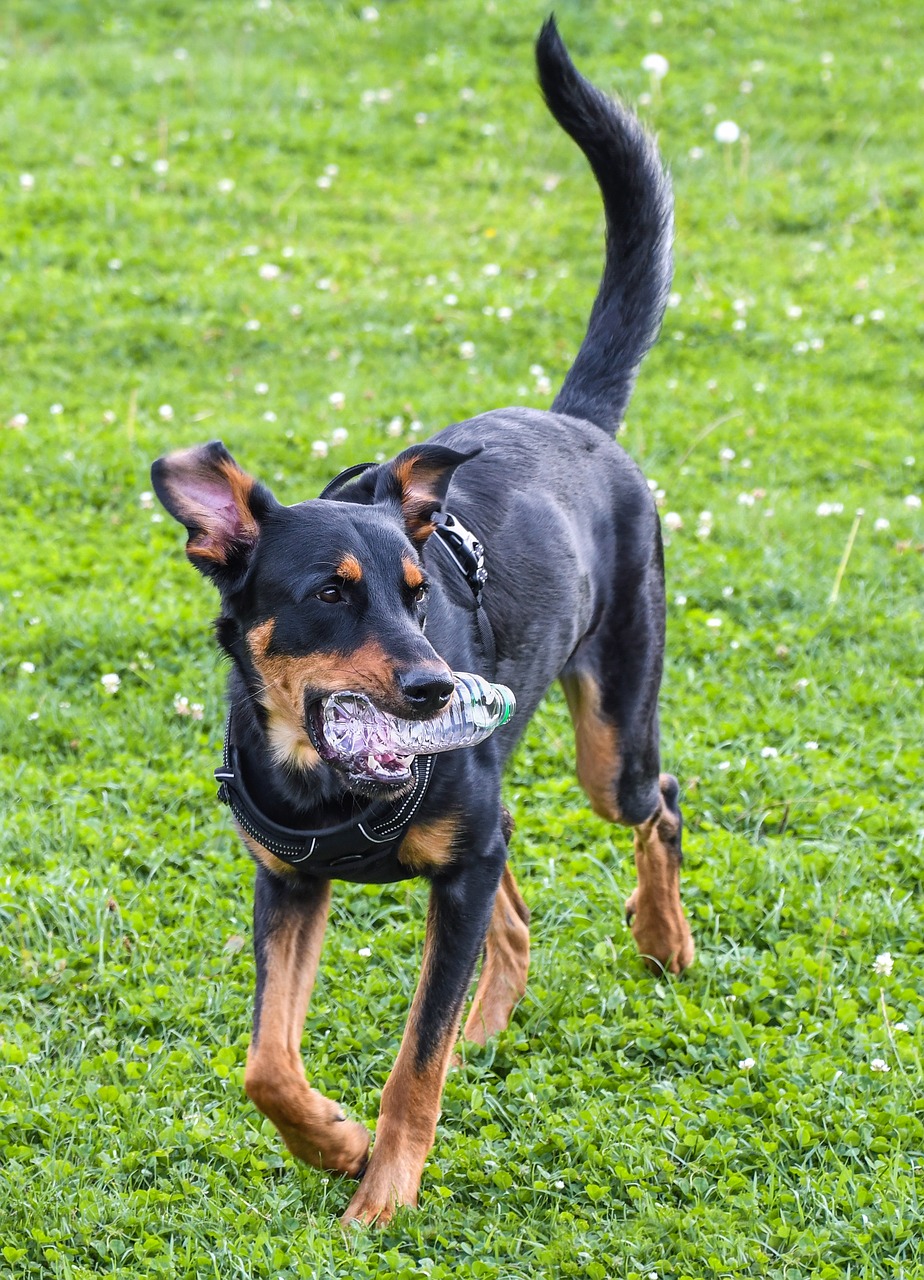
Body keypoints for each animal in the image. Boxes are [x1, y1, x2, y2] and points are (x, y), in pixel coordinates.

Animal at [152, 17, 691, 1218]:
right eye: (328, 593)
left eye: (416, 592)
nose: (437, 686)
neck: (329, 788)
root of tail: (578, 423)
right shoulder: (290, 881)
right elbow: (267, 1062)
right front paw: (335, 1142)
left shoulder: (455, 859)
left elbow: (414, 1059)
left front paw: (382, 1189)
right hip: (492, 820)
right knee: (514, 909)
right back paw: (493, 1025)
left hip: (608, 742)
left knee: (660, 801)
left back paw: (664, 938)